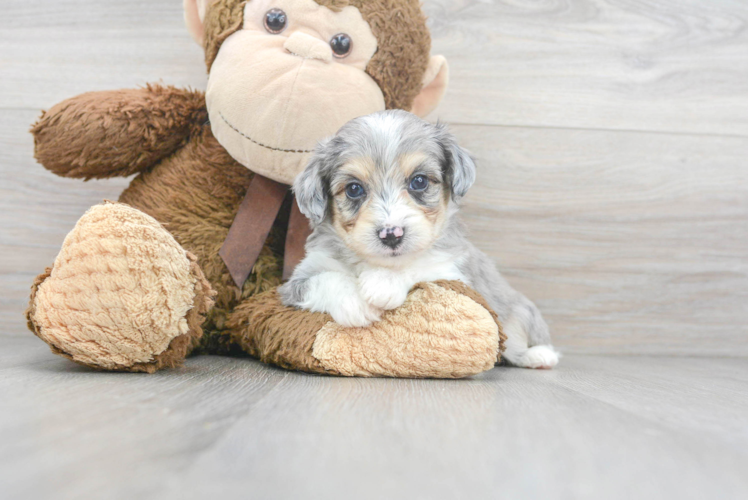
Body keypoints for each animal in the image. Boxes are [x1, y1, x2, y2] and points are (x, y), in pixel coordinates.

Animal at [280, 110, 560, 368]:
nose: (391, 234)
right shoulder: (294, 283)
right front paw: (354, 301)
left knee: (516, 344)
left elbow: (420, 266)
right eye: (353, 189)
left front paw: (383, 283)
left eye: (419, 181)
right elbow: (325, 279)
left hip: (522, 313)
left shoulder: (454, 274)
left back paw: (539, 355)